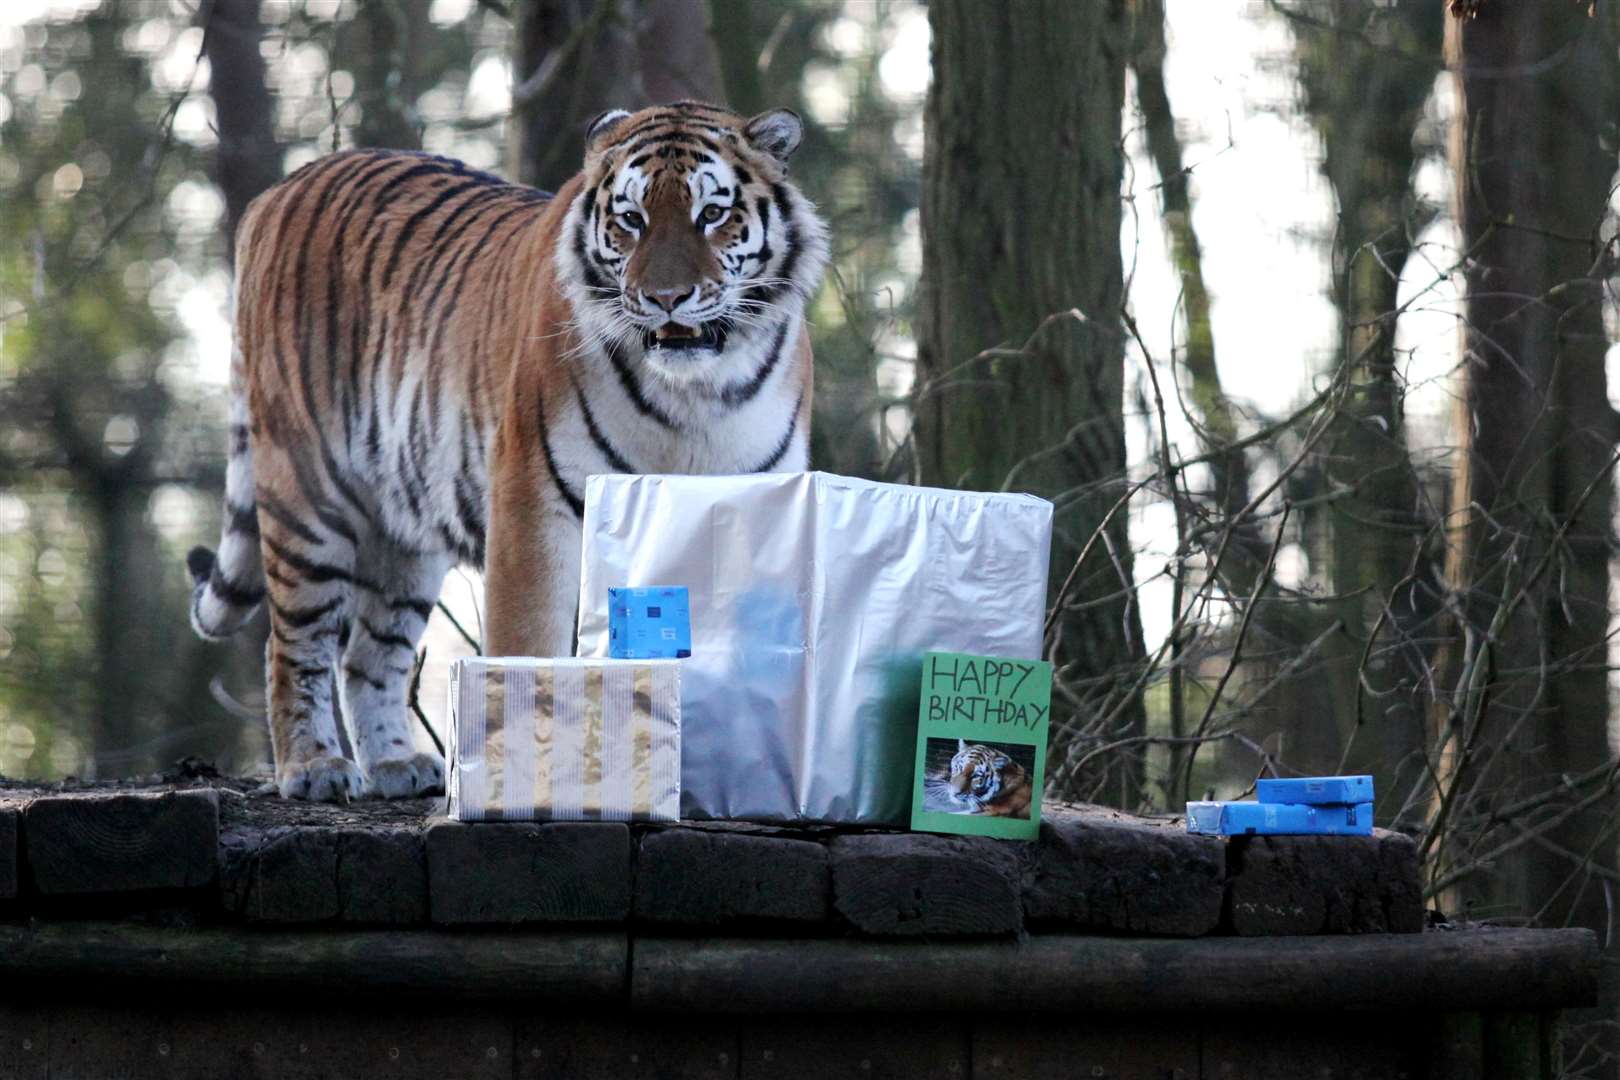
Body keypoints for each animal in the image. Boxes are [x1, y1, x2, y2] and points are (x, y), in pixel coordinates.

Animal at [183, 103, 829, 803]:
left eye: (711, 213)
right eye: (631, 219)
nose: (666, 299)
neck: (696, 394)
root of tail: (278, 192)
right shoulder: (533, 499)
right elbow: (530, 647)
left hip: (405, 527)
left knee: (369, 653)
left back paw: (395, 766)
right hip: (308, 495)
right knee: (294, 645)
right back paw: (315, 768)